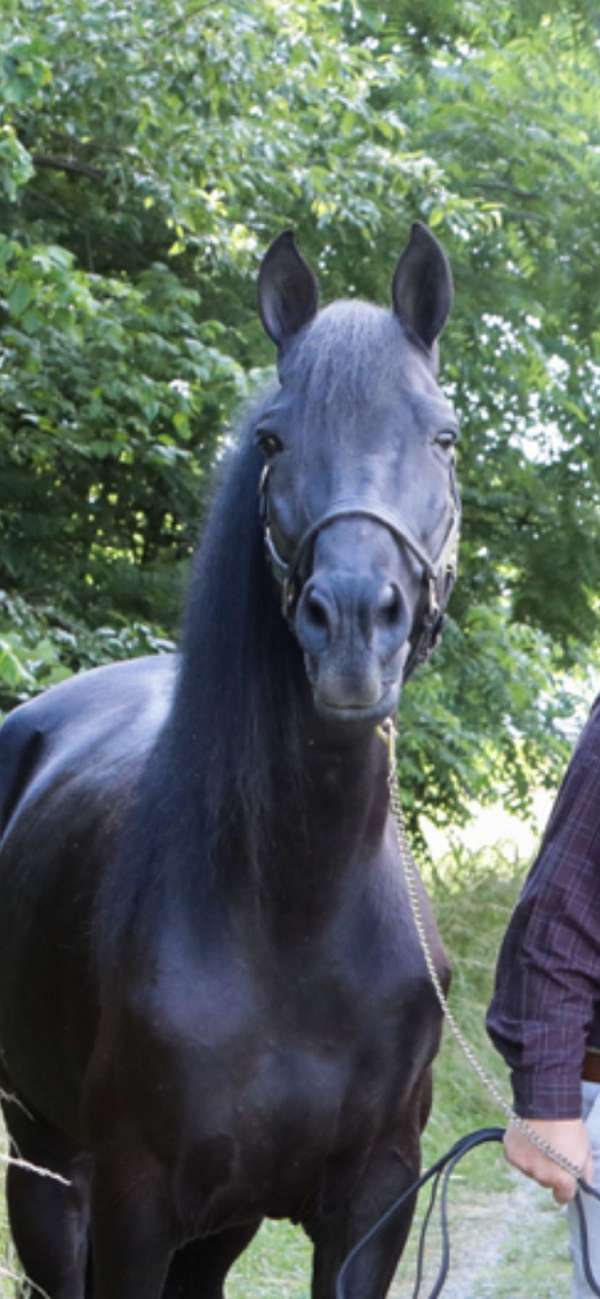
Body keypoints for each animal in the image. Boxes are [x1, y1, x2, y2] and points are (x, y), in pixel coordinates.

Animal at [0, 222, 460, 1299]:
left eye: (443, 435)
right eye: (273, 440)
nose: (353, 625)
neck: (295, 911)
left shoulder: (376, 1202)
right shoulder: (131, 1204)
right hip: (44, 1170)